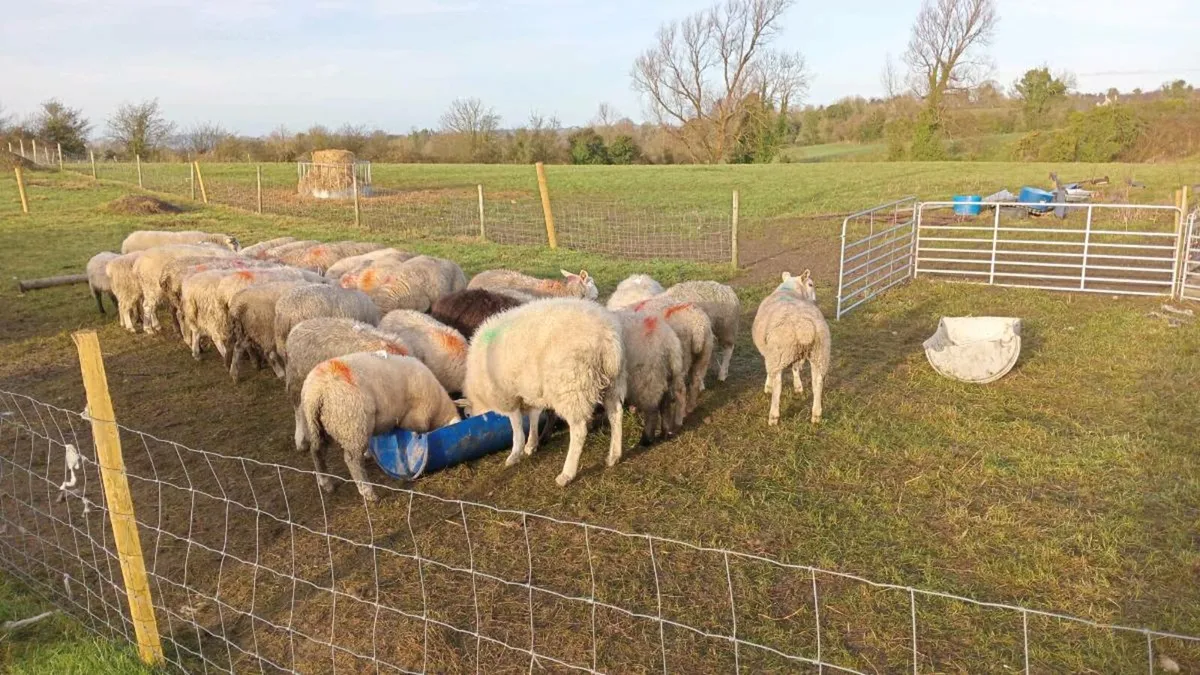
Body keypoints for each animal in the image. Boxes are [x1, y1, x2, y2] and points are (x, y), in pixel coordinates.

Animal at [299, 351, 459, 501]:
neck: (440, 407)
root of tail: (317, 391)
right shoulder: (417, 416)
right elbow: (416, 430)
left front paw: (369, 453)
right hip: (353, 424)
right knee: (352, 460)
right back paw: (368, 492)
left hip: (319, 425)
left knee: (317, 451)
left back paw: (326, 482)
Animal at [465, 298, 626, 487]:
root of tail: (607, 338)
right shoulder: (532, 391)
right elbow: (534, 417)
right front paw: (532, 444)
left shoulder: (507, 395)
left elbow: (516, 426)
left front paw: (515, 453)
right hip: (613, 382)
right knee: (616, 415)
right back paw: (614, 456)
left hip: (572, 386)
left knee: (579, 430)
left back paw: (567, 474)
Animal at [616, 309, 686, 445]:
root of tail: (670, 341)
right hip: (663, 375)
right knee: (665, 404)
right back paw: (665, 432)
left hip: (648, 377)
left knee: (652, 411)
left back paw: (646, 440)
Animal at [751, 270, 829, 426]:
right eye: (811, 284)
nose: (815, 301)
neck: (790, 289)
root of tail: (804, 326)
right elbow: (795, 369)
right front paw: (798, 387)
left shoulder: (769, 352)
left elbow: (769, 372)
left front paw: (767, 387)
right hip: (820, 354)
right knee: (817, 383)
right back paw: (816, 415)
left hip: (779, 354)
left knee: (778, 385)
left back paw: (773, 416)